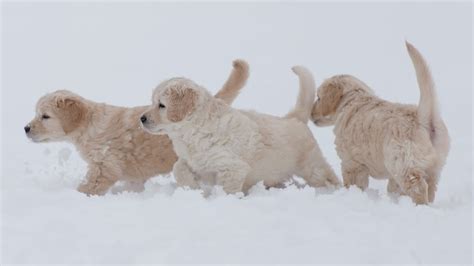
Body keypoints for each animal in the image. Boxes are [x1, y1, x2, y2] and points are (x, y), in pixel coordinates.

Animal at [24, 60, 250, 195]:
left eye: (45, 116)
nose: (25, 128)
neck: (89, 125)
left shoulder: (104, 167)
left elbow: (89, 186)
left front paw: (78, 195)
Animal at [141, 64, 340, 193]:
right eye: (153, 102)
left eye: (161, 105)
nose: (141, 119)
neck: (192, 132)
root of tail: (294, 117)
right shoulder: (194, 161)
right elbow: (178, 167)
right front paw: (191, 187)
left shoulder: (232, 167)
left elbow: (228, 188)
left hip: (312, 167)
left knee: (328, 176)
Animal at [312, 42, 450, 204]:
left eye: (318, 97)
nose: (310, 113)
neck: (353, 100)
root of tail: (422, 117)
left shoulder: (351, 163)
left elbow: (353, 183)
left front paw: (351, 195)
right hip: (434, 167)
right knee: (431, 187)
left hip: (404, 164)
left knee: (418, 188)